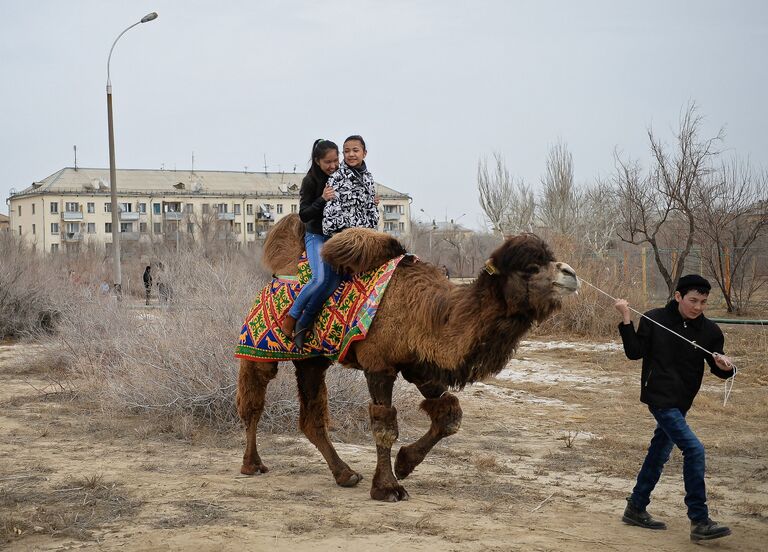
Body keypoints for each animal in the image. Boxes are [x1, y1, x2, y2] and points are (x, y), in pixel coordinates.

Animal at [237, 215, 580, 500]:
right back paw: (252, 465)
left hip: (312, 359)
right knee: (253, 402)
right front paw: (387, 488)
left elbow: (449, 416)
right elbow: (385, 425)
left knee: (312, 418)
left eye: (549, 259)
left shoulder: (421, 367)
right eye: (529, 268)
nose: (571, 274)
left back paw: (345, 474)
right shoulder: (379, 365)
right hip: (257, 347)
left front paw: (404, 464)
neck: (429, 312)